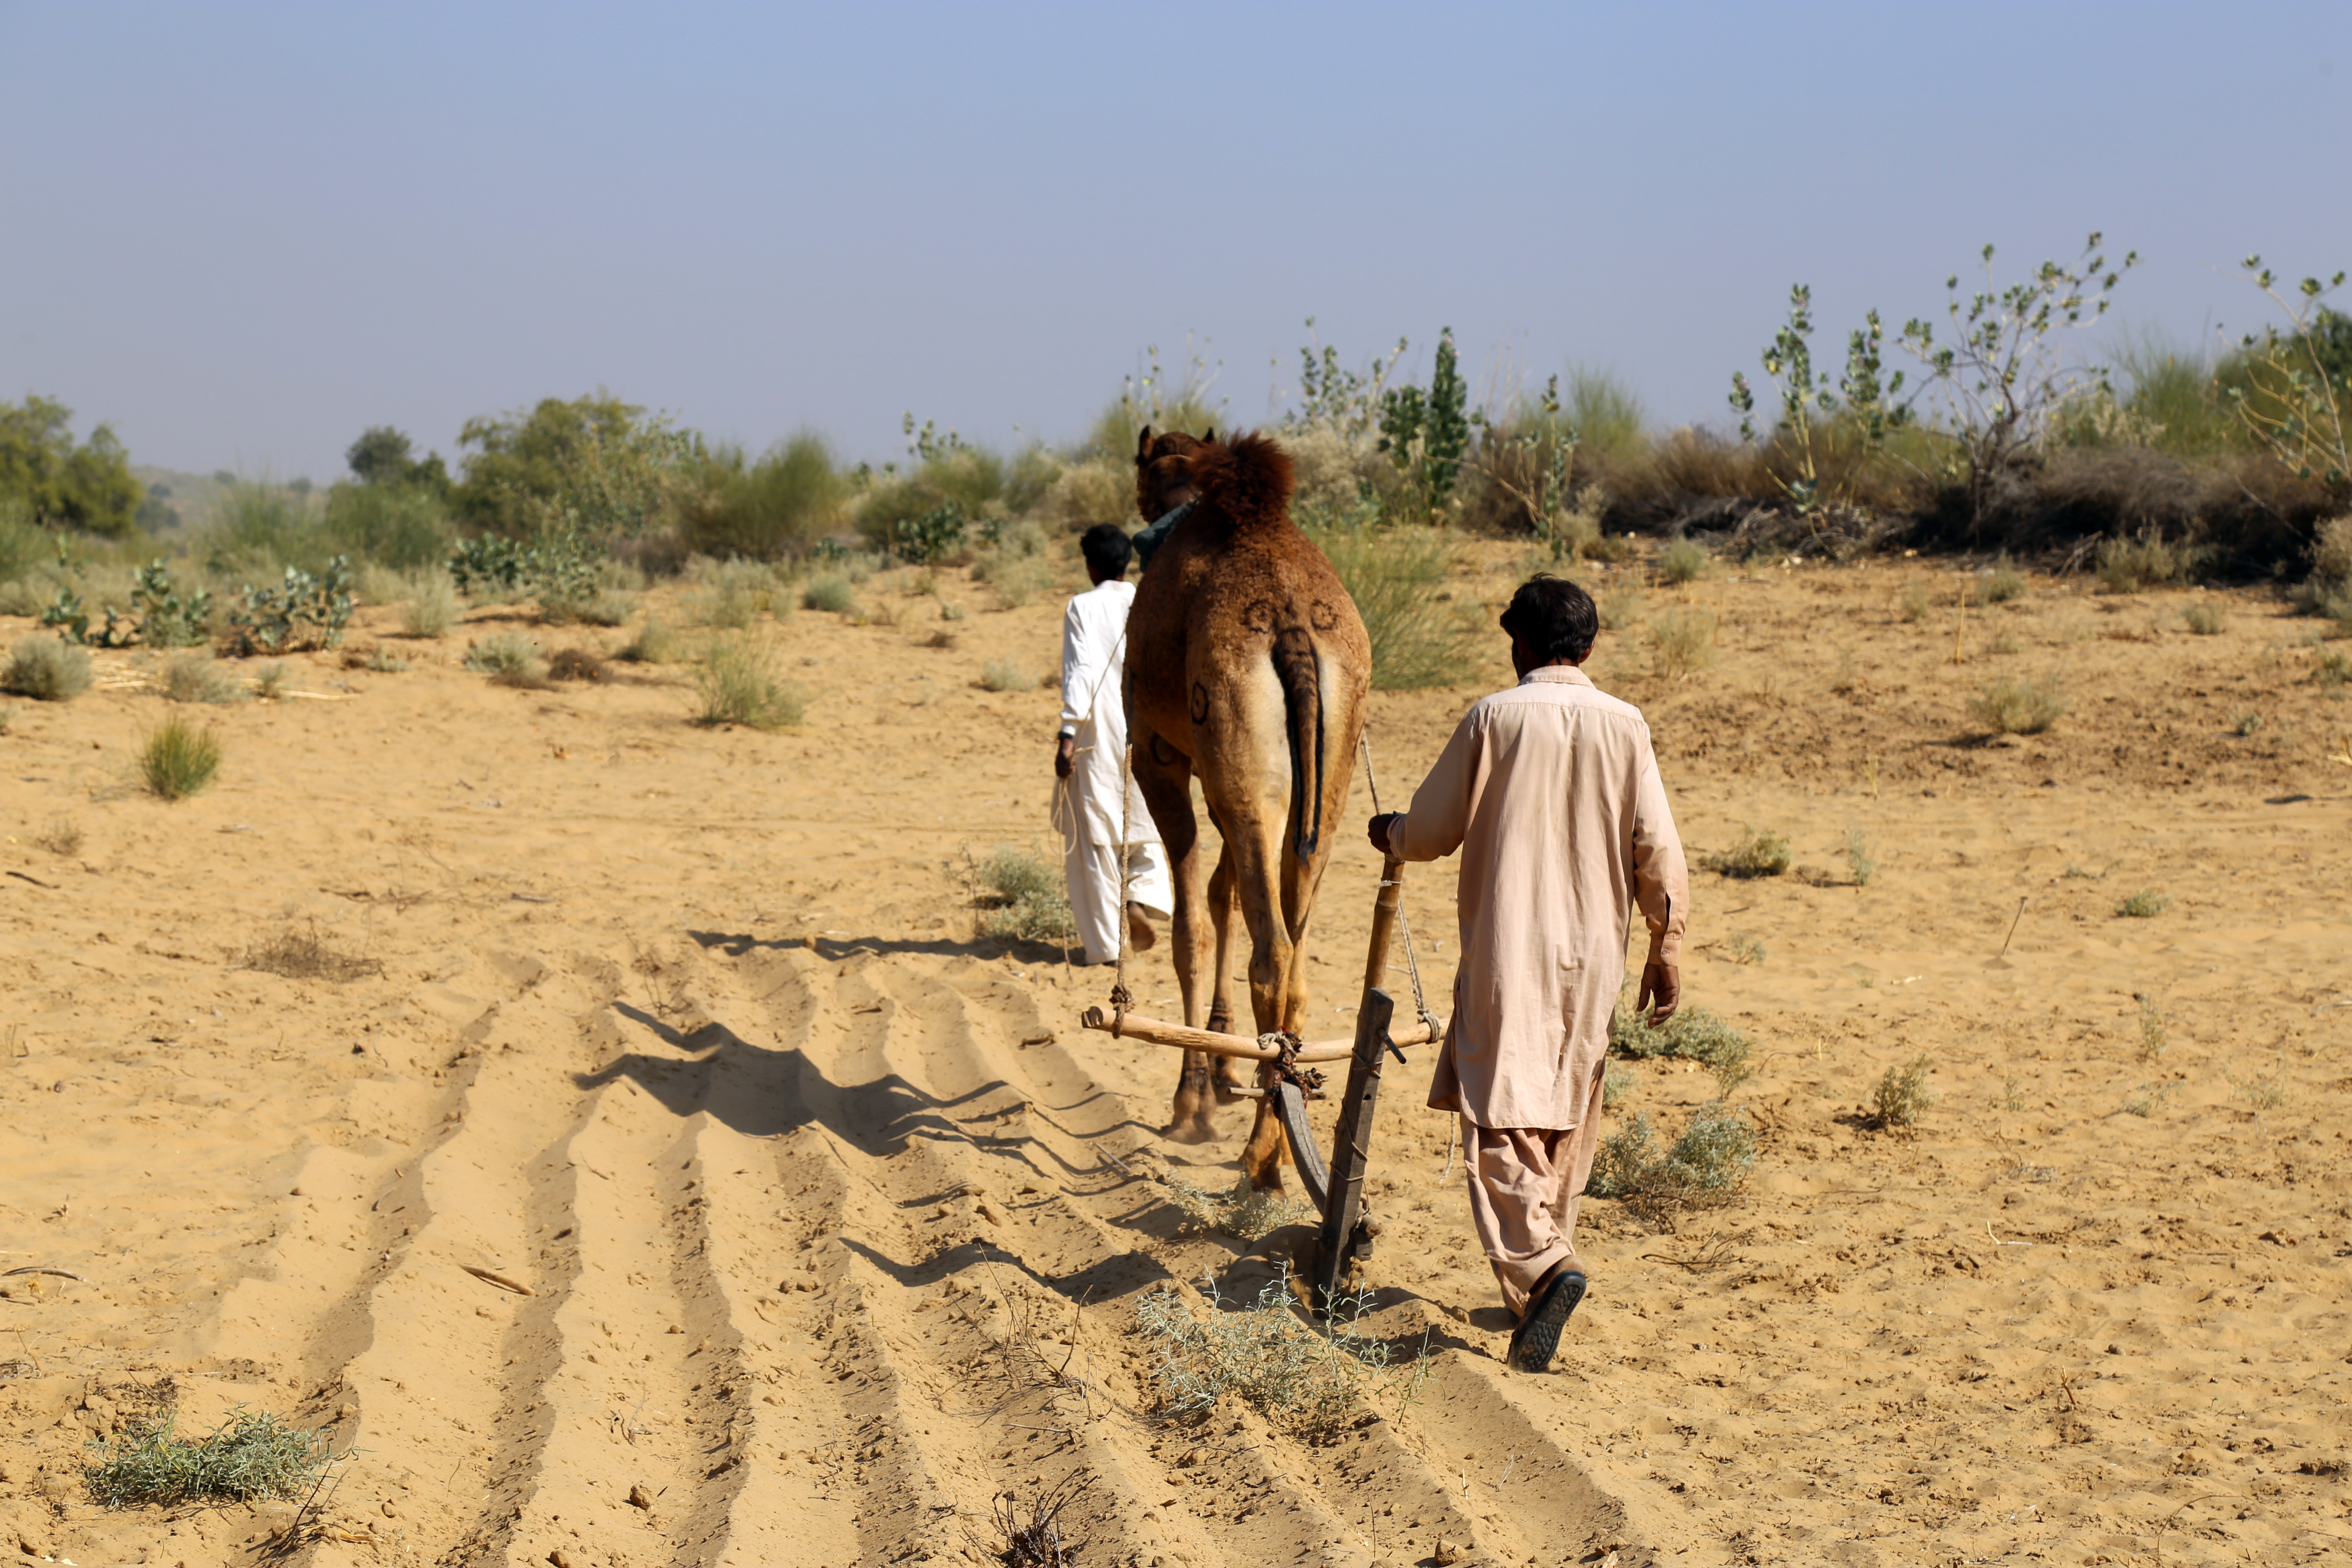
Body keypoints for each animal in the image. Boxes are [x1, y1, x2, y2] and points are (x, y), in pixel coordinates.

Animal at [1124, 430, 1373, 1189]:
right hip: (1322, 777)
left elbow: (1193, 927)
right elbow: (1222, 895)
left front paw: (1193, 1102)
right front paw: (1223, 1067)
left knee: (1272, 954)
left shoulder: (1159, 755)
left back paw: (1258, 1158)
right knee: (1295, 959)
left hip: (1229, 738)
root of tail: (1290, 626)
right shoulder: (1223, 778)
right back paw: (1276, 1145)